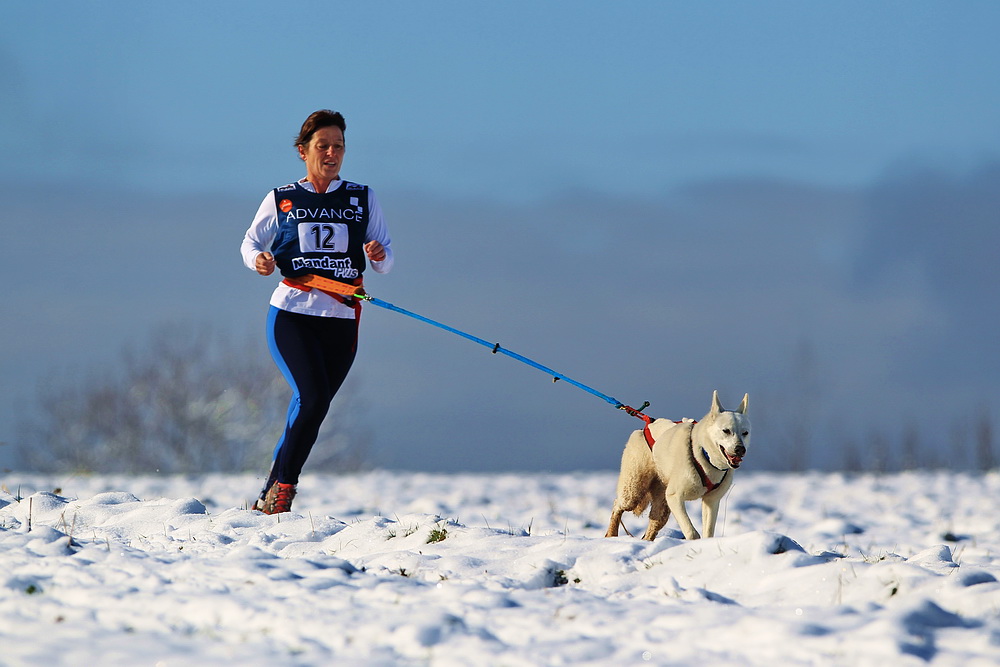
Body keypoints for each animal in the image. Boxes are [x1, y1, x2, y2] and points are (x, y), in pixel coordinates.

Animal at [600, 392, 752, 544]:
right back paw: (611, 534)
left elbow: (708, 532)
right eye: (726, 431)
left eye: (745, 433)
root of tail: (646, 426)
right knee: (617, 505)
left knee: (653, 524)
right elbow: (691, 532)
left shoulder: (711, 501)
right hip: (633, 490)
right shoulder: (675, 497)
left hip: (662, 506)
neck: (703, 455)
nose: (740, 449)